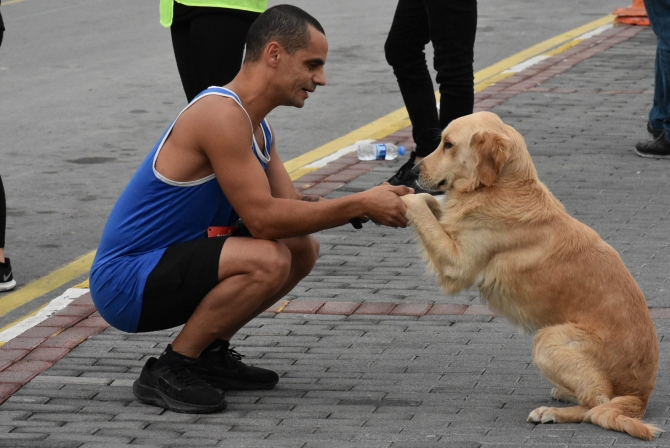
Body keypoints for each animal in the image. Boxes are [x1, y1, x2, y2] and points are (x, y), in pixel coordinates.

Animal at [404, 110, 660, 440]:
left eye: (447, 145)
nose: (412, 171)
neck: (501, 186)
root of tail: (640, 396)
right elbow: (434, 205)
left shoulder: (457, 265)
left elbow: (419, 205)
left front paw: (401, 198)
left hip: (548, 338)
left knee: (596, 404)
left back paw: (550, 413)